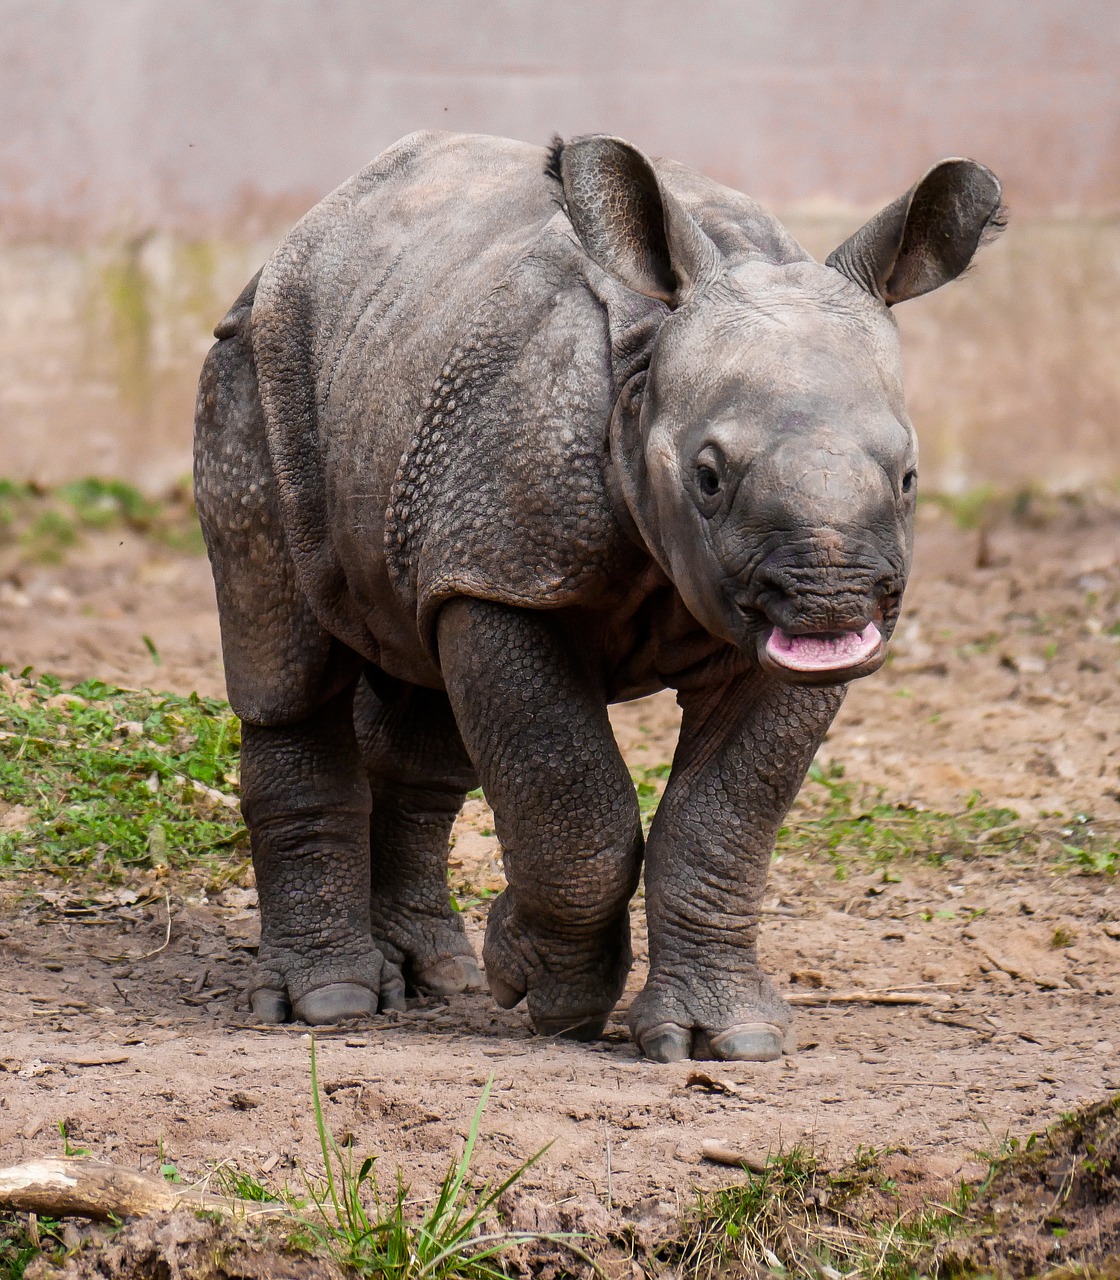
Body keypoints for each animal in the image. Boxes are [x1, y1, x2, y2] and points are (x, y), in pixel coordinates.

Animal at [194, 130, 1003, 1062]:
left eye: (909, 479)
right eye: (708, 476)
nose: (830, 605)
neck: (647, 375)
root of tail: (306, 229)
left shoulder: (501, 563)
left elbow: (723, 820)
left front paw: (729, 1040)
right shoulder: (504, 573)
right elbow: (570, 801)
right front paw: (545, 985)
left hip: (405, 390)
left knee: (420, 673)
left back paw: (434, 976)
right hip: (256, 366)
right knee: (286, 666)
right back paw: (329, 1003)